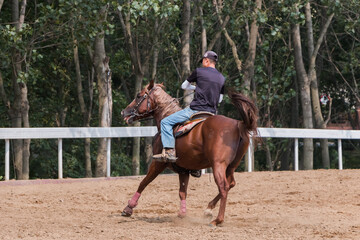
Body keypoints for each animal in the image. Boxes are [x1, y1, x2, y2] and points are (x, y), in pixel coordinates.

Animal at [120, 79, 256, 226]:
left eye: (139, 96)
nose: (123, 112)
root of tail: (238, 124)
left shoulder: (158, 163)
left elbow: (143, 183)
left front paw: (128, 208)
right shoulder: (184, 169)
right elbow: (182, 192)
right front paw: (182, 213)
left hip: (218, 164)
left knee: (223, 186)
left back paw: (217, 220)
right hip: (231, 166)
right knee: (231, 184)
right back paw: (208, 209)